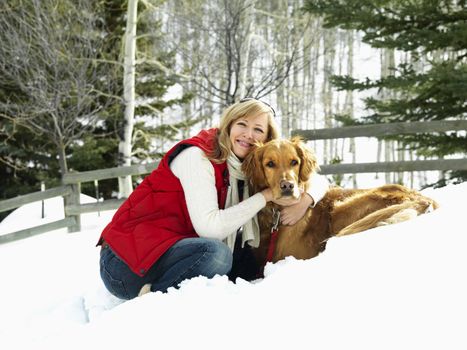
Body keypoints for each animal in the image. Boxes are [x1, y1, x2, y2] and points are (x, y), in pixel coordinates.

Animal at [243, 137, 440, 268]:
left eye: (294, 162)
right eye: (270, 164)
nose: (288, 186)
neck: (277, 213)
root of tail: (424, 198)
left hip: (342, 208)